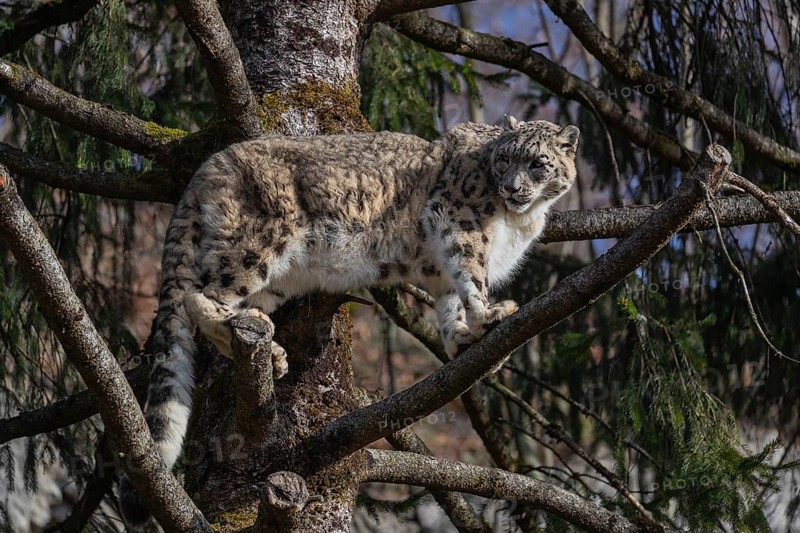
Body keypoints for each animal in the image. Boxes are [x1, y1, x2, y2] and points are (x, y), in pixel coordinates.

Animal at [119, 115, 579, 529]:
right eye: (504, 160)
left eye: (537, 163)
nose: (512, 188)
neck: (521, 221)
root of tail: (205, 169)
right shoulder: (460, 221)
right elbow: (472, 272)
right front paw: (489, 315)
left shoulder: (438, 273)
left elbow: (451, 299)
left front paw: (462, 336)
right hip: (256, 243)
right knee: (199, 296)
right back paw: (257, 336)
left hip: (282, 277)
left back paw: (271, 353)